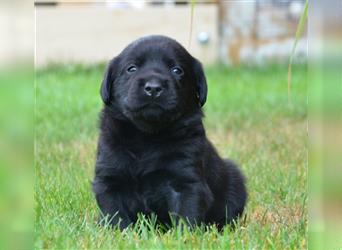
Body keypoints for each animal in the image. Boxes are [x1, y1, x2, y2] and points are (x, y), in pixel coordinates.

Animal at [92, 35, 247, 230]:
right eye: (131, 68)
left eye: (176, 70)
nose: (153, 87)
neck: (146, 136)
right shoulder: (109, 179)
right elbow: (115, 215)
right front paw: (120, 232)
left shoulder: (187, 182)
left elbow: (187, 214)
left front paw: (185, 235)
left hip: (235, 182)